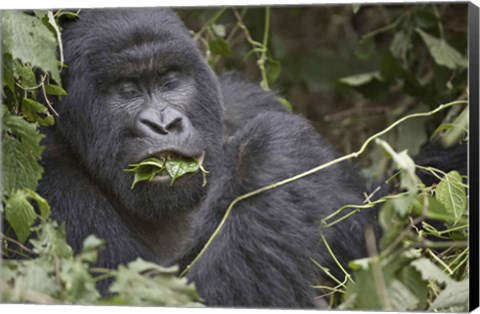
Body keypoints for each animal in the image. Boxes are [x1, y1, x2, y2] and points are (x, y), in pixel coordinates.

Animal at [36, 7, 378, 306]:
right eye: (128, 90)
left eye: (169, 81)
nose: (164, 124)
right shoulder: (53, 187)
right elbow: (156, 295)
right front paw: (269, 155)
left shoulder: (246, 101)